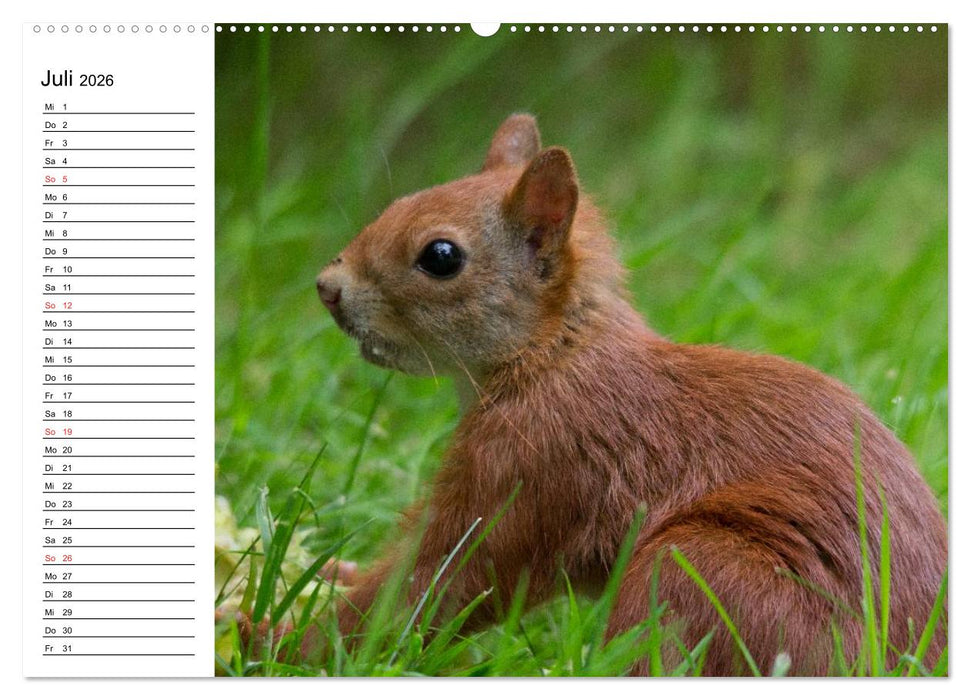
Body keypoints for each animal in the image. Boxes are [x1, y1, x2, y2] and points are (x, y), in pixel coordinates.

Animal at [312, 114, 947, 675]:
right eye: (401, 201)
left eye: (441, 256)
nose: (326, 287)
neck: (554, 355)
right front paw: (332, 573)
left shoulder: (529, 468)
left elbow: (441, 577)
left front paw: (295, 634)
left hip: (700, 572)